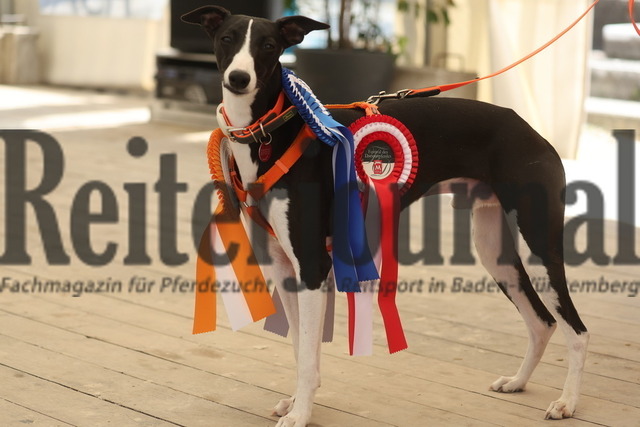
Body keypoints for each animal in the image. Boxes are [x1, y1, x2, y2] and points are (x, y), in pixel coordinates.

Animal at [182, 6, 589, 426]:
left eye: (268, 45)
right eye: (227, 38)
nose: (239, 78)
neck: (272, 132)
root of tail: (534, 134)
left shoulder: (312, 266)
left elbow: (308, 356)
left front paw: (300, 414)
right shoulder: (283, 266)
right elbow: (300, 347)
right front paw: (296, 402)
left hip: (537, 246)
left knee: (576, 330)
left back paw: (567, 402)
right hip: (497, 251)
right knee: (542, 322)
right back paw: (518, 382)